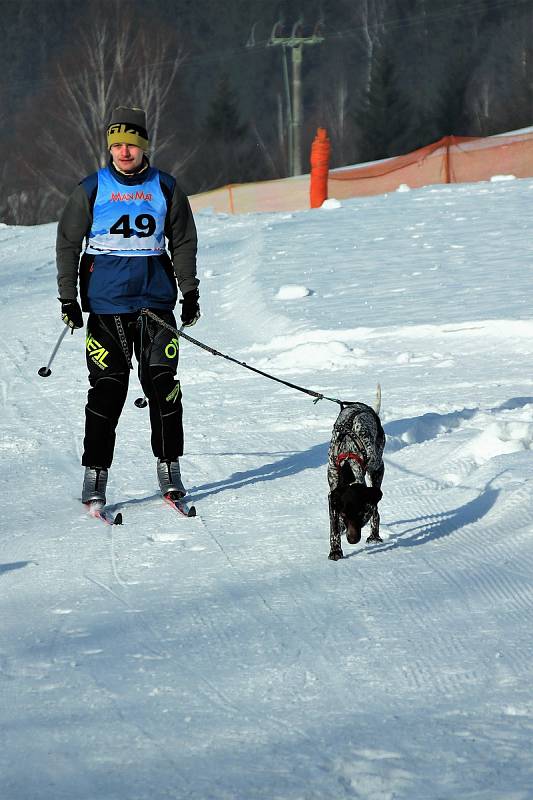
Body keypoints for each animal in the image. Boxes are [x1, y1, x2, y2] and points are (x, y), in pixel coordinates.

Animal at [326, 386, 384, 560]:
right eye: (344, 514)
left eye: (361, 514)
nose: (352, 540)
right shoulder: (333, 491)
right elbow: (333, 527)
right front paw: (335, 550)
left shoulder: (378, 468)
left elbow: (374, 509)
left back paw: (374, 536)